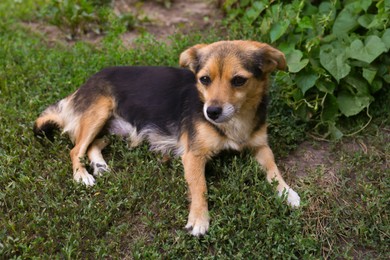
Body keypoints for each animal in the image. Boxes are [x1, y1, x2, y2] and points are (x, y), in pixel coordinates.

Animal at [34, 40, 302, 236]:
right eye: (204, 79)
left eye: (239, 80)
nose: (211, 112)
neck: (235, 120)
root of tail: (83, 85)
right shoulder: (193, 155)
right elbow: (200, 187)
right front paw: (199, 219)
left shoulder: (260, 146)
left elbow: (273, 168)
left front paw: (287, 193)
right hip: (98, 113)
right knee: (75, 148)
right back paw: (82, 175)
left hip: (116, 131)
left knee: (92, 145)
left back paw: (99, 165)